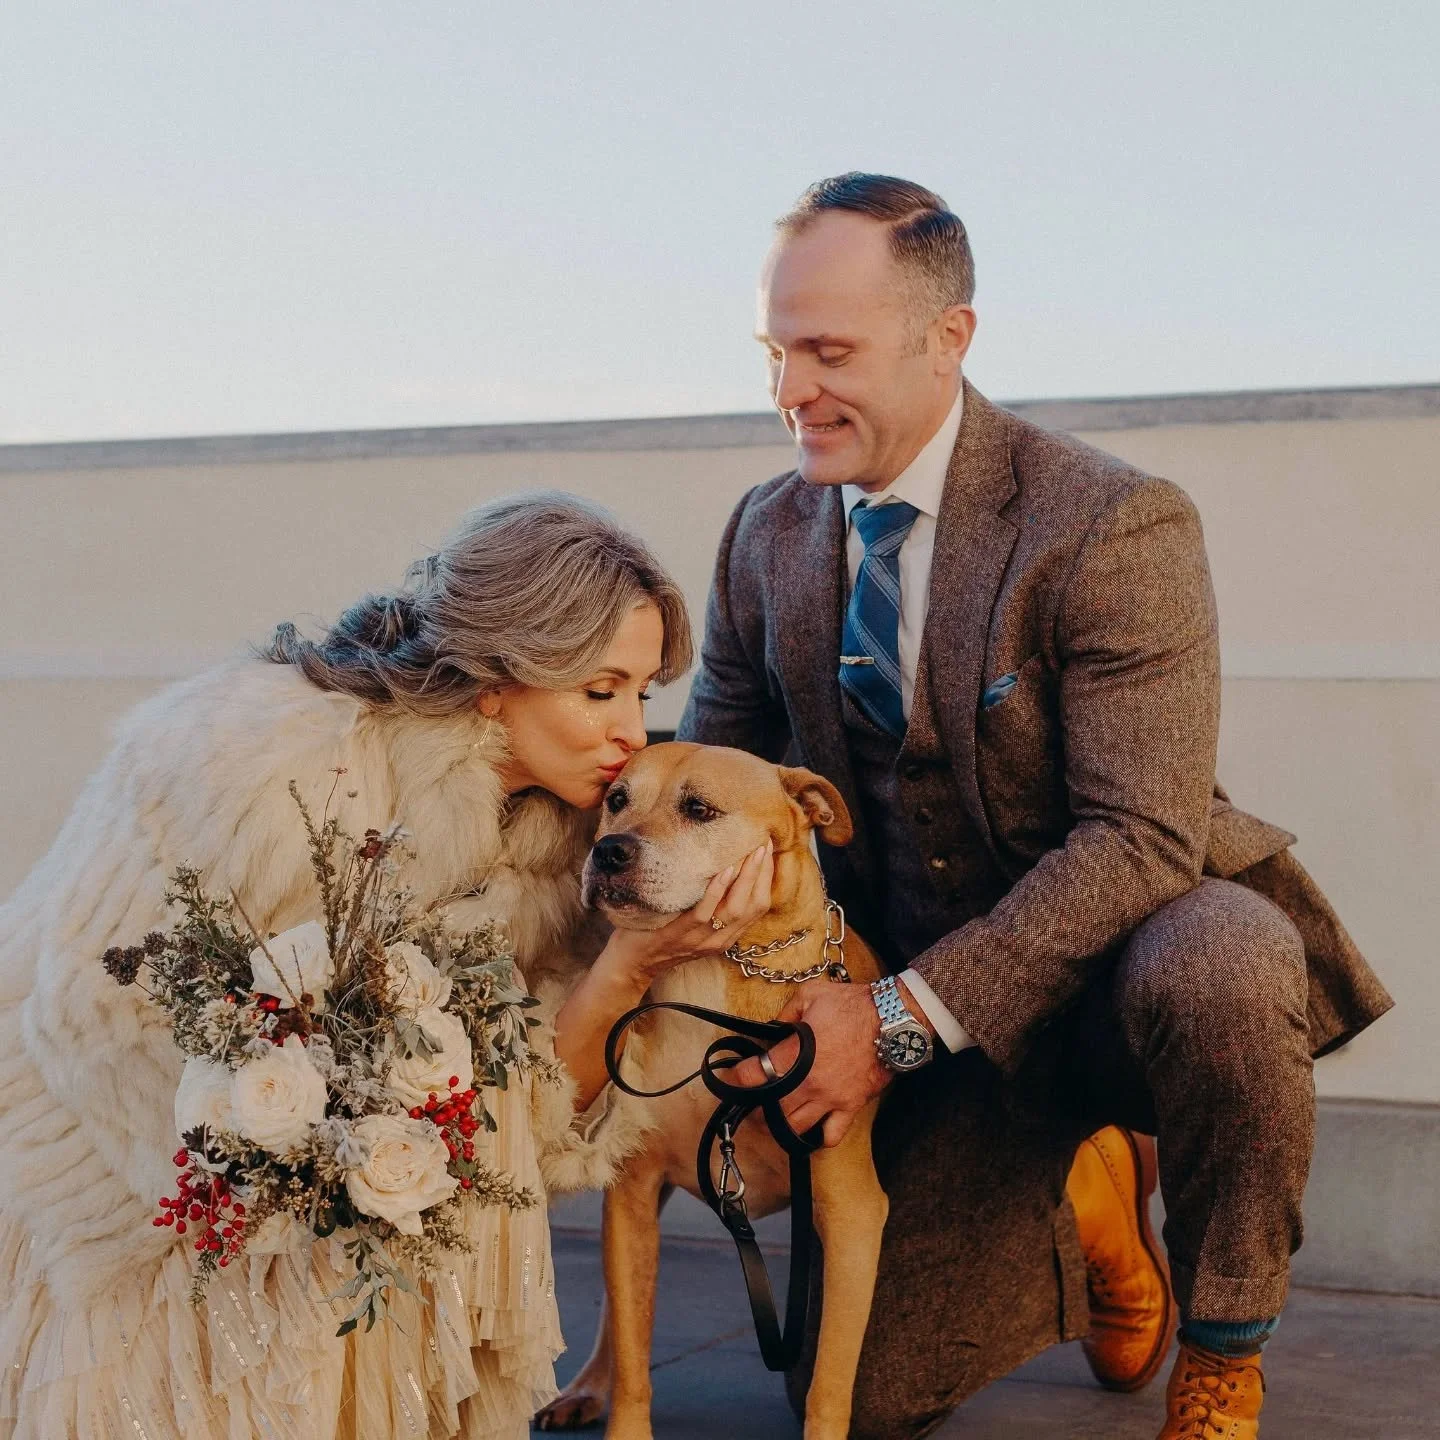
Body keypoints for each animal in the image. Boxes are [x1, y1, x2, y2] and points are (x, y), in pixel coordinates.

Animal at [534, 741, 889, 1440]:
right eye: (616, 800)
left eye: (699, 810)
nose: (610, 850)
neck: (712, 968)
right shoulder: (633, 1196)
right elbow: (634, 1350)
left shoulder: (852, 1211)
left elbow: (830, 1380)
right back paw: (586, 1388)